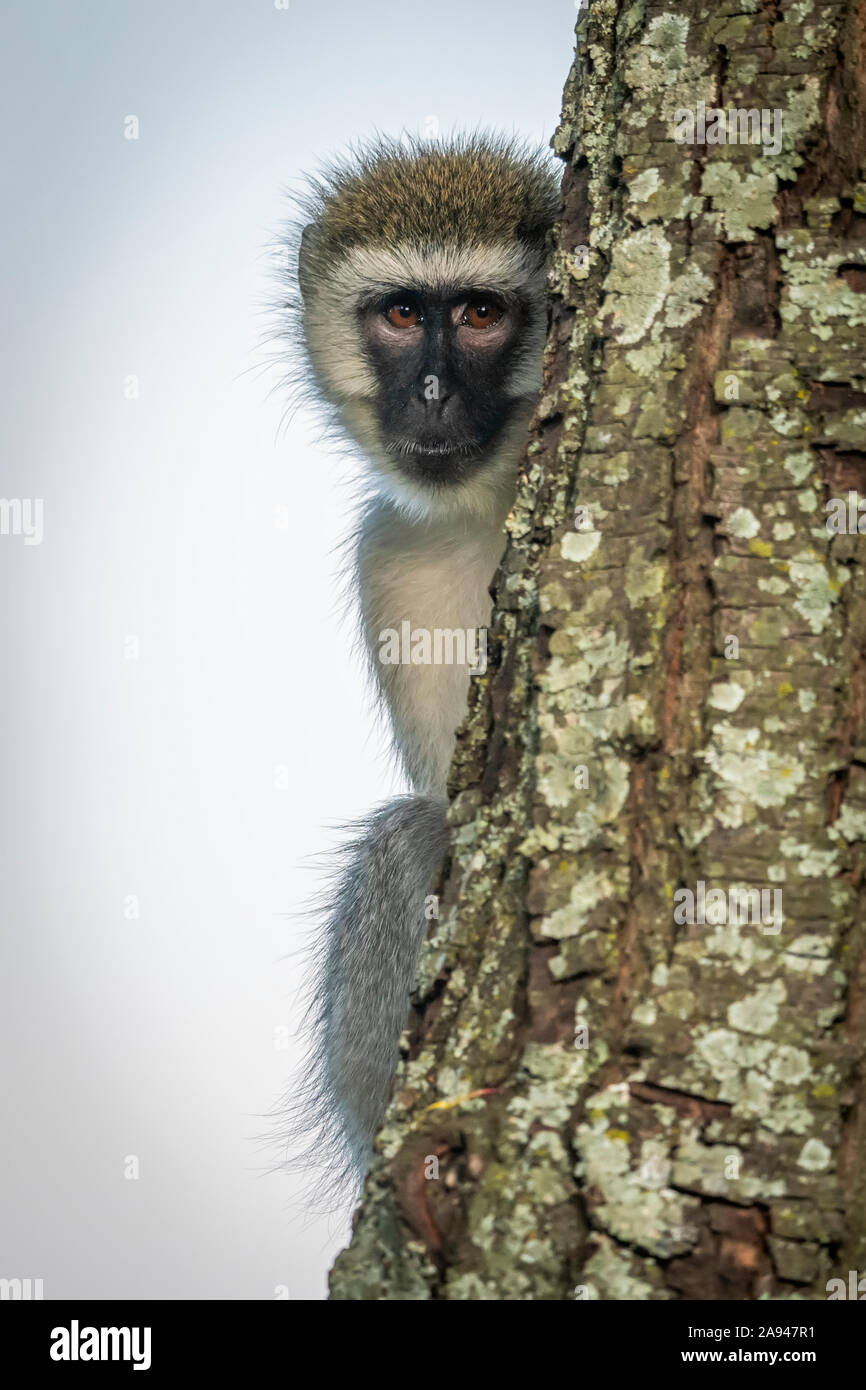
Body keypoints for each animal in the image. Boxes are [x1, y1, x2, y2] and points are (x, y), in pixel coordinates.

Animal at [280, 134, 559, 1193]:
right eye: (403, 314)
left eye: (480, 314)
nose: (434, 394)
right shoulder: (390, 557)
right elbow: (447, 794)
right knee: (409, 834)